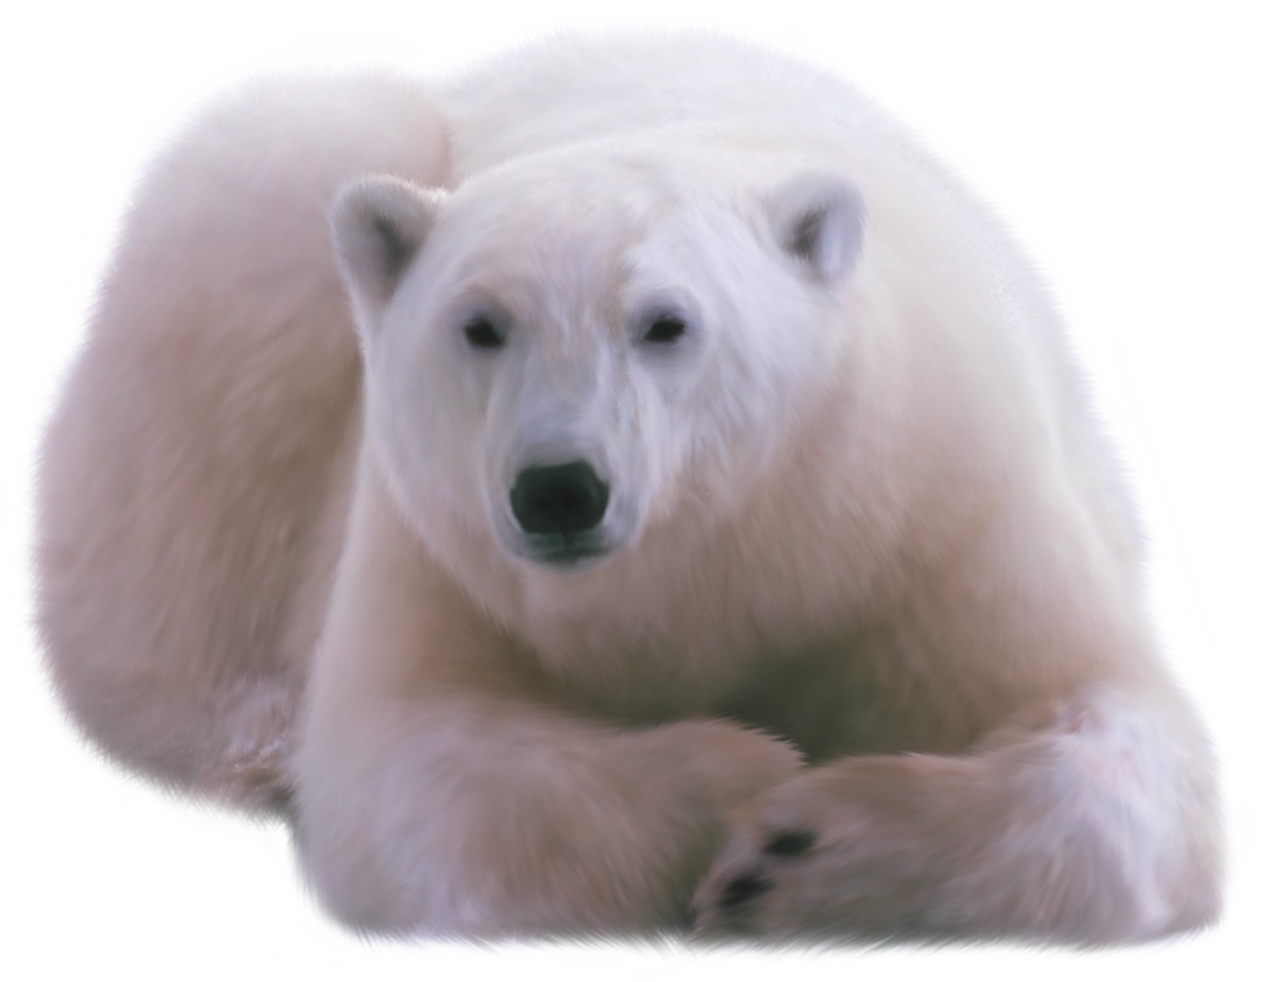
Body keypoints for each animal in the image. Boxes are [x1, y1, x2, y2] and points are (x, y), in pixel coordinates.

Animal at [16, 13, 1240, 962]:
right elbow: (416, 772)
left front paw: (794, 855)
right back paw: (260, 742)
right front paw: (735, 787)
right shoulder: (437, 545)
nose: (560, 489)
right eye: (480, 324)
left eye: (665, 322)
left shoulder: (939, 504)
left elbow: (1133, 757)